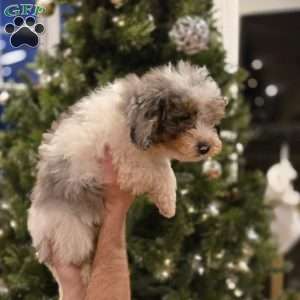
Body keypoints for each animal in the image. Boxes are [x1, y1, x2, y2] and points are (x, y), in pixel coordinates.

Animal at [28, 61, 226, 284]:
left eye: (211, 120)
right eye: (184, 118)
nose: (205, 147)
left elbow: (164, 168)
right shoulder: (129, 166)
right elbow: (163, 173)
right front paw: (168, 204)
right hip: (74, 232)